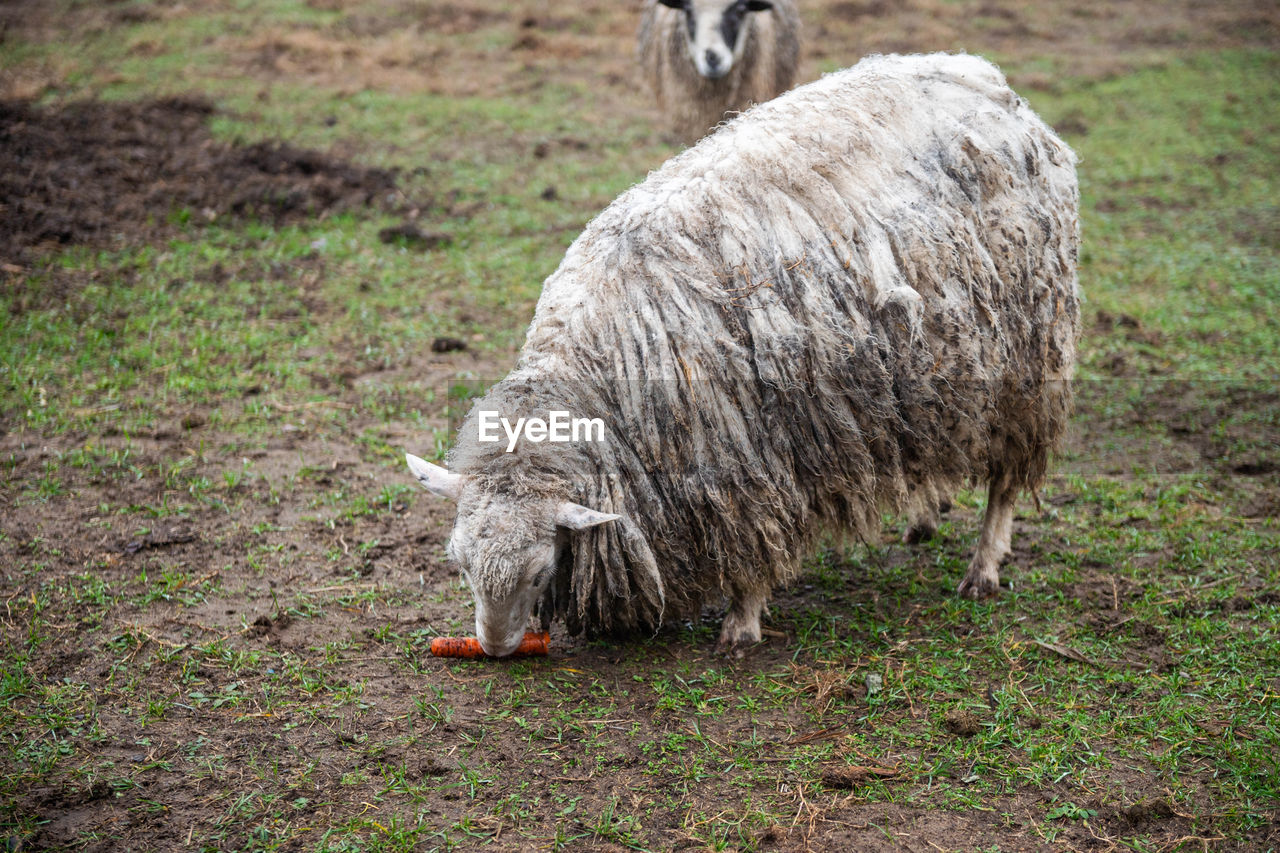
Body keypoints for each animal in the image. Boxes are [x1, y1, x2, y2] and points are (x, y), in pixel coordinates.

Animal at [407, 53, 1080, 653]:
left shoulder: (742, 459)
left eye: (542, 571)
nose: (494, 648)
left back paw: (983, 568)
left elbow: (753, 545)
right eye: (459, 564)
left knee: (1008, 479)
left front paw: (742, 623)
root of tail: (992, 83)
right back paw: (924, 515)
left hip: (1028, 365)